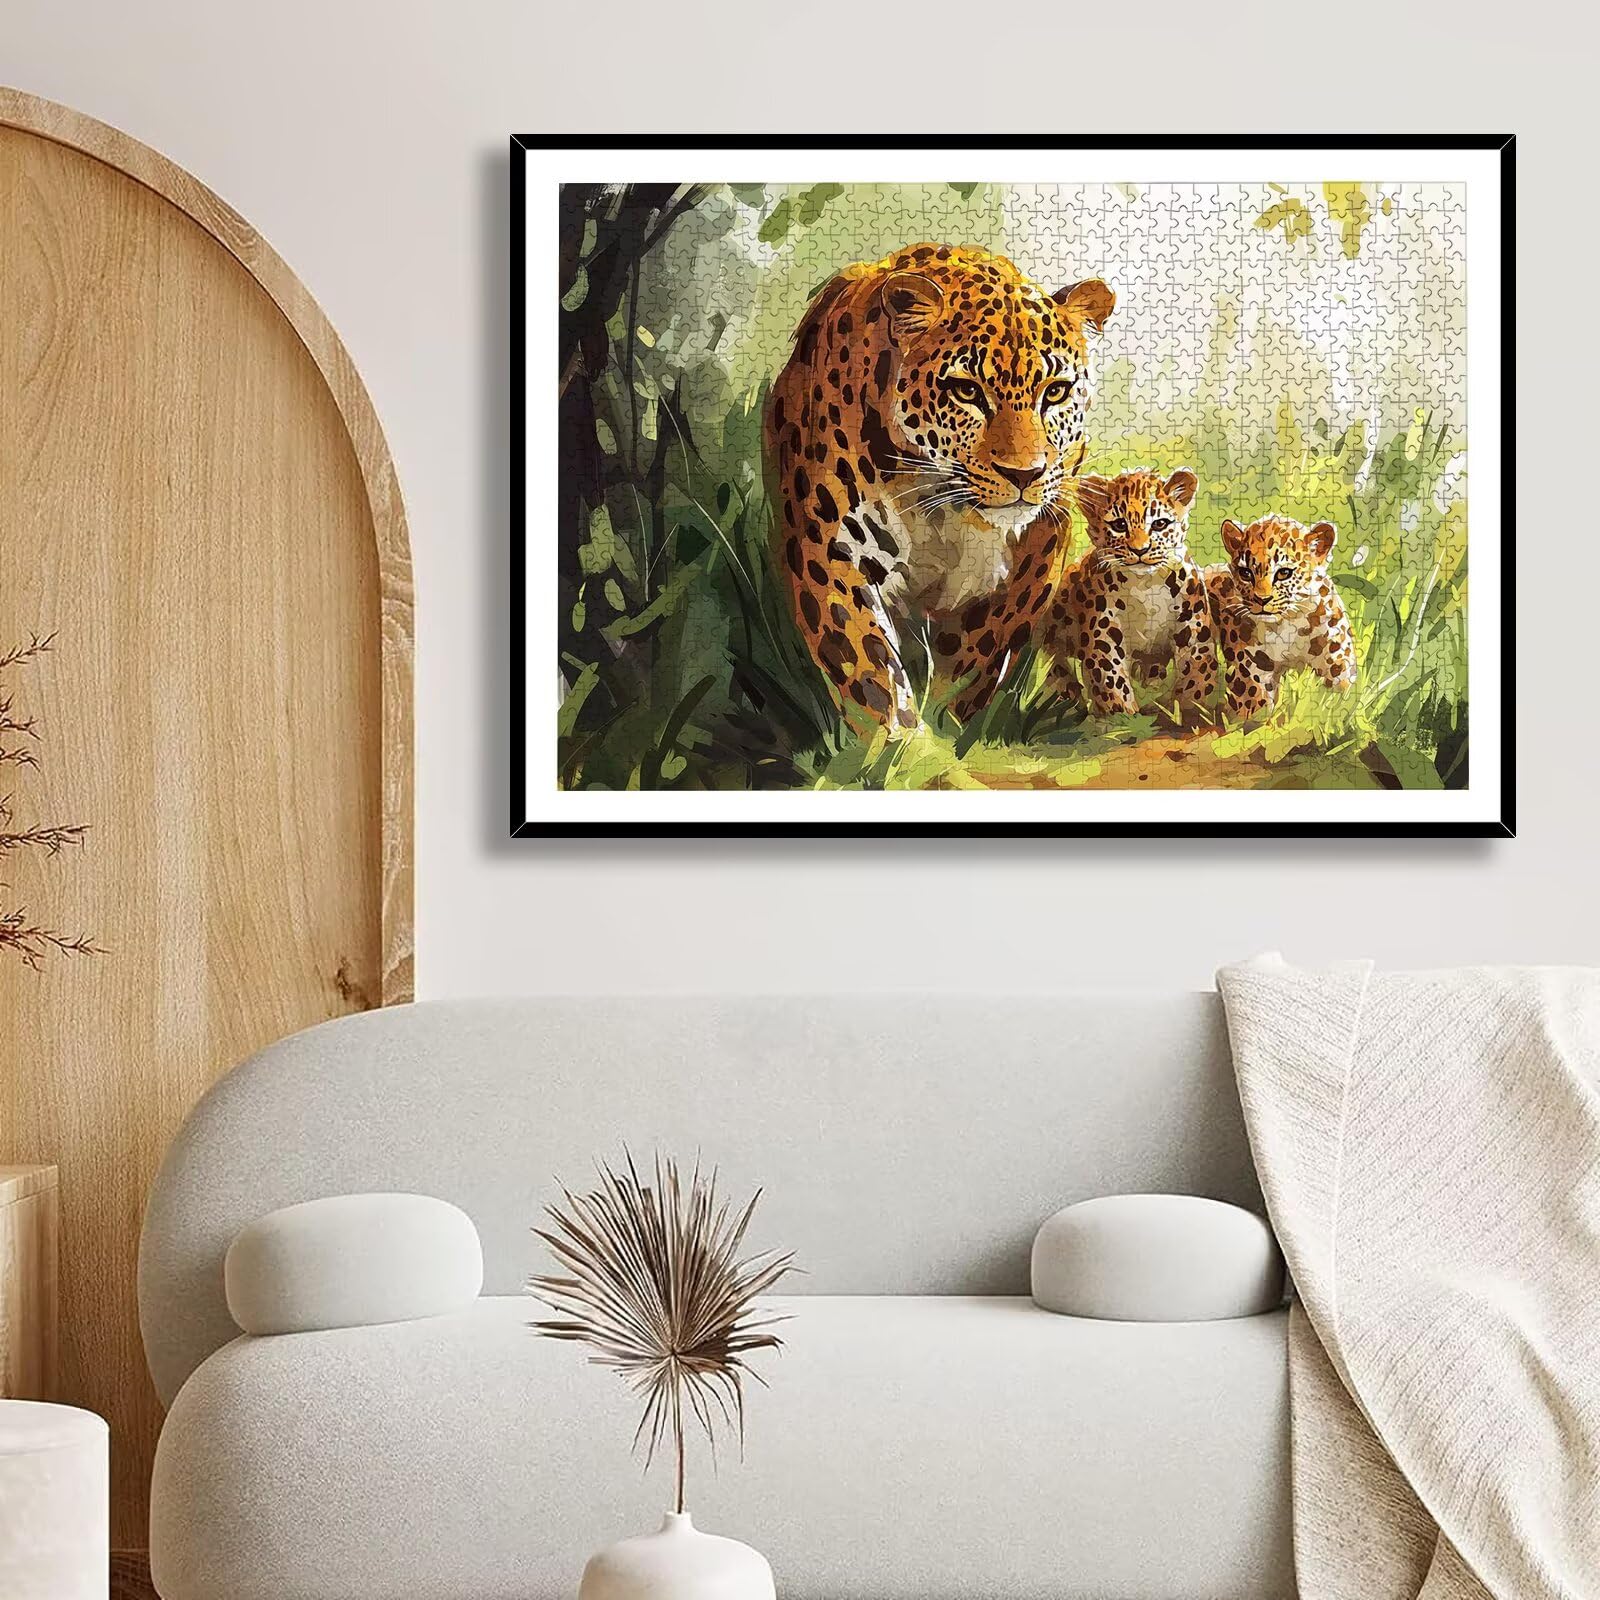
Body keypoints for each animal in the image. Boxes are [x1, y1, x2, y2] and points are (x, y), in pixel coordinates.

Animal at [763, 243, 1115, 735]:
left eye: (1056, 392)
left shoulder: (1041, 544)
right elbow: (868, 668)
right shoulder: (829, 550)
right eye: (966, 391)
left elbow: (983, 652)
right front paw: (901, 743)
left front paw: (948, 726)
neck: (939, 503)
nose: (1024, 474)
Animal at [1040, 468, 1217, 718]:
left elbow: (1197, 674)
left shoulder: (1193, 627)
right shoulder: (1103, 631)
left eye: (1160, 524)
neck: (1145, 584)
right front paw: (1123, 716)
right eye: (1119, 524)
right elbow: (1111, 677)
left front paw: (1189, 711)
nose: (1140, 550)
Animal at [1203, 515, 1359, 719]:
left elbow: (1340, 698)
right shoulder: (1251, 668)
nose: (1261, 599)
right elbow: (1255, 708)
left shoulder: (1336, 661)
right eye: (1246, 573)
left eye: (1284, 573)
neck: (1288, 623)